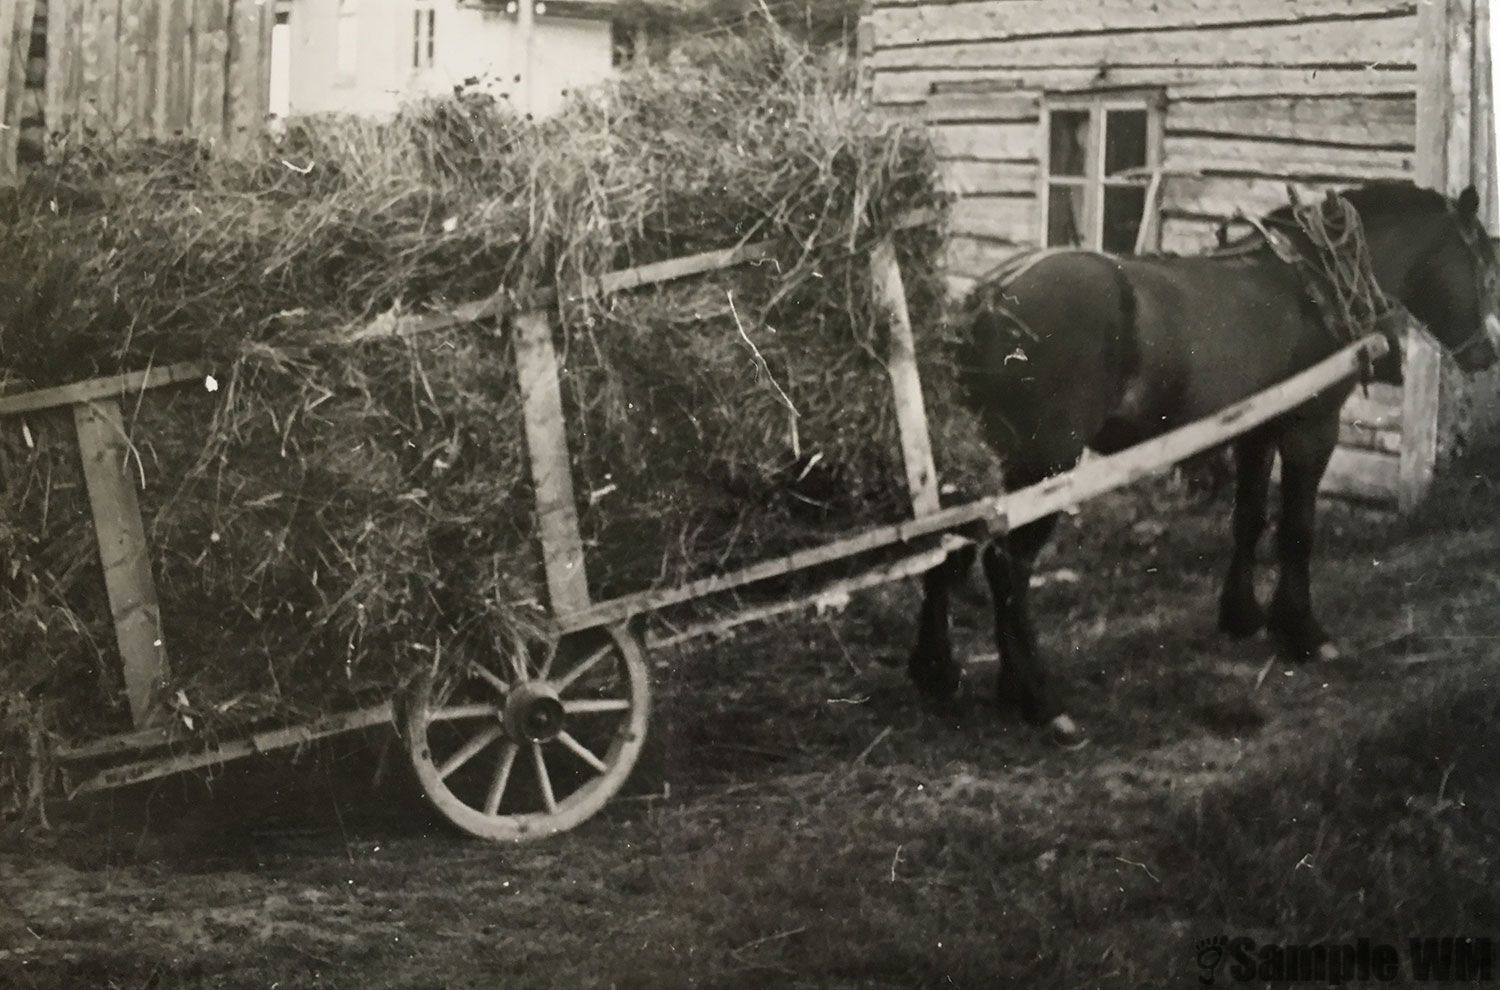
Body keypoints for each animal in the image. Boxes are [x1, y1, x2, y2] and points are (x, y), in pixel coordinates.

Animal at [912, 181, 1500, 747]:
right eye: (1483, 266)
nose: (1487, 354)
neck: (1318, 280)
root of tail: (986, 301)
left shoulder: (1255, 429)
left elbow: (1249, 519)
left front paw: (1243, 615)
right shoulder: (1311, 426)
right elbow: (1297, 529)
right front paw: (1303, 631)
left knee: (949, 543)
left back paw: (941, 671)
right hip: (1045, 463)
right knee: (1007, 566)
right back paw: (1036, 697)